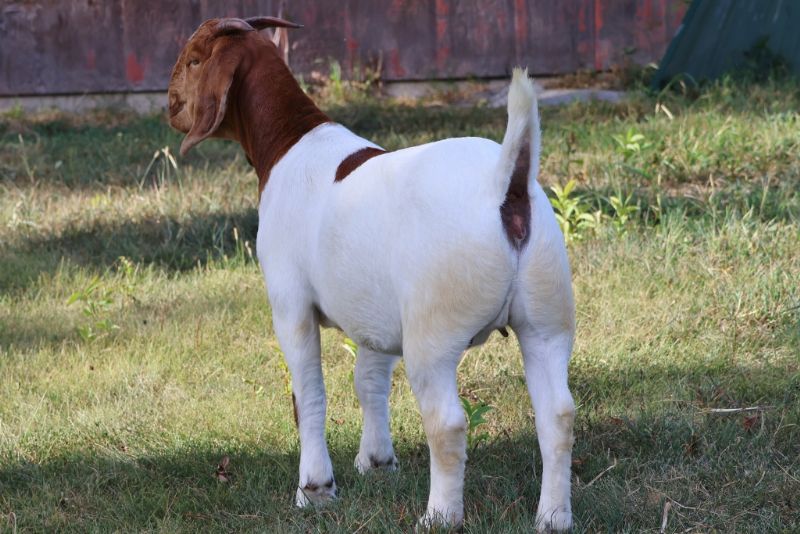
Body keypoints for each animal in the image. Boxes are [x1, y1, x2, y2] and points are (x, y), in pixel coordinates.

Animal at [168, 16, 576, 531]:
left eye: (194, 59)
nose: (170, 106)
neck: (292, 141)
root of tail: (506, 182)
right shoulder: (376, 319)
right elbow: (369, 381)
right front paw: (377, 462)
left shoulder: (290, 306)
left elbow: (309, 397)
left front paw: (315, 489)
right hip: (546, 321)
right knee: (557, 415)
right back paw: (553, 517)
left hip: (433, 336)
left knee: (447, 423)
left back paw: (439, 515)